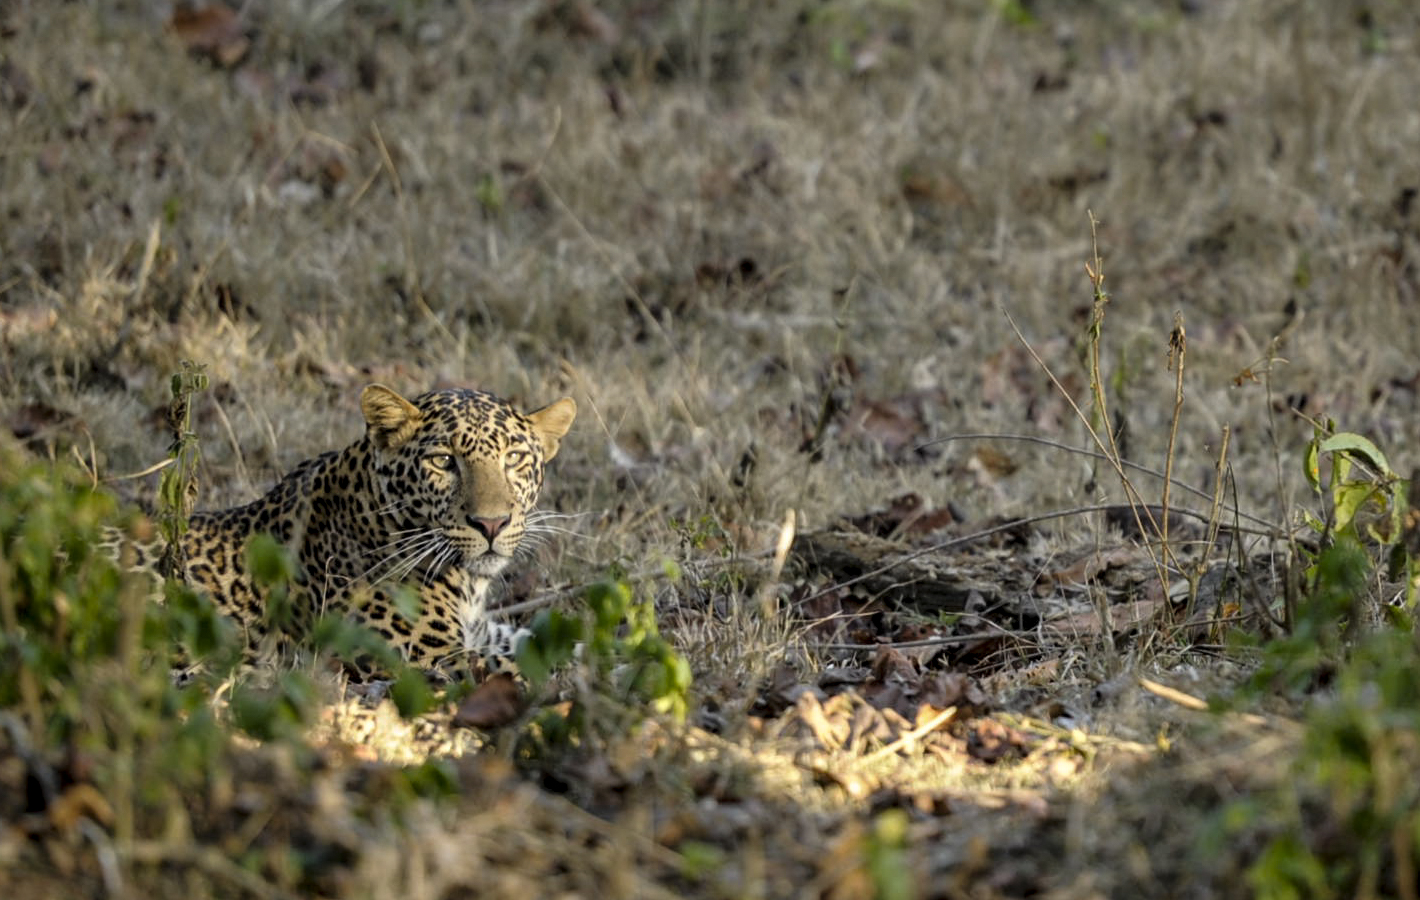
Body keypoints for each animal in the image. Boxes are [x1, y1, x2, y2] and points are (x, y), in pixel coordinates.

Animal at [122, 383, 576, 675]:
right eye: (443, 461)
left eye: (514, 458)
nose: (491, 524)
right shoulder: (425, 658)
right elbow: (526, 671)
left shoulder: (483, 634)